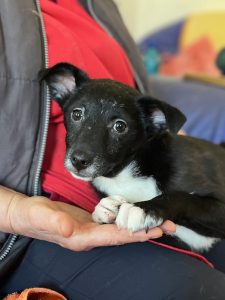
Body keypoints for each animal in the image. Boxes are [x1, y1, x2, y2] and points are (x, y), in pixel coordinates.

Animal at [40, 63, 225, 253]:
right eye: (76, 114)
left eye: (120, 126)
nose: (78, 160)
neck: (127, 173)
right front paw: (105, 208)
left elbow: (183, 197)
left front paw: (145, 209)